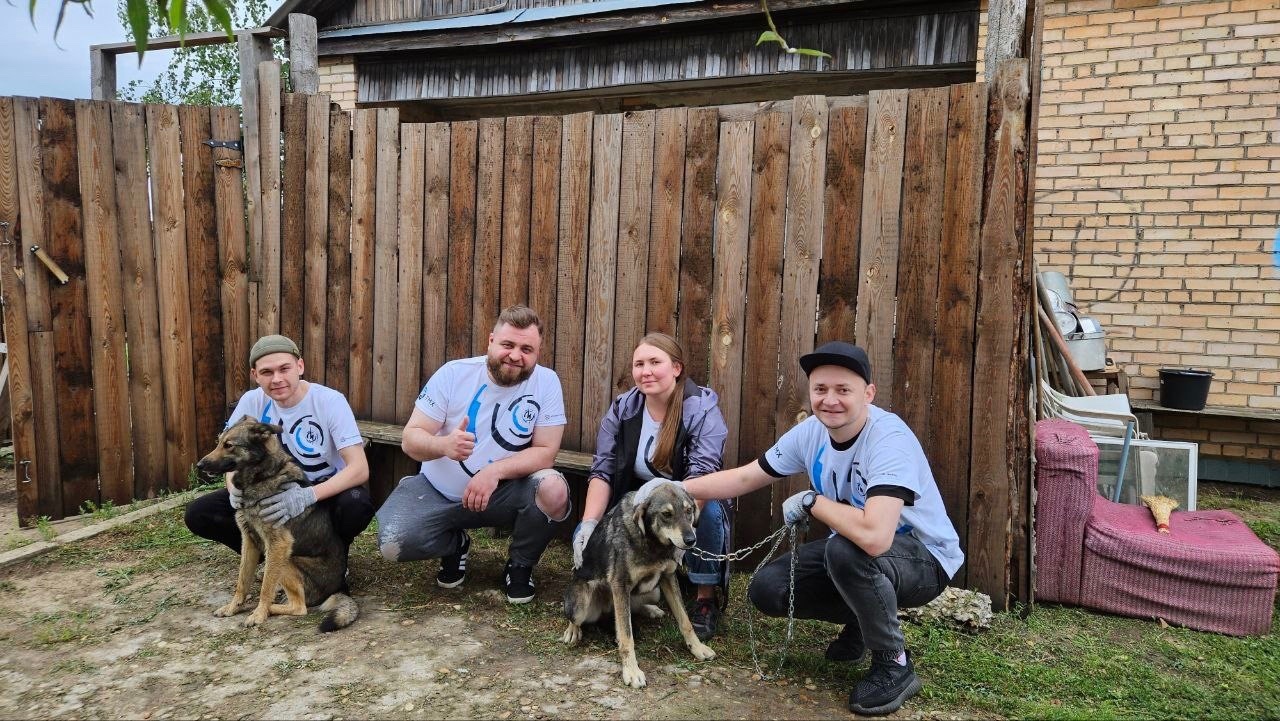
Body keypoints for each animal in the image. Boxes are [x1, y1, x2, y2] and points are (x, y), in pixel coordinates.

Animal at [195, 417, 358, 632]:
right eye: (219, 441)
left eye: (228, 445)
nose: (199, 465)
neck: (261, 476)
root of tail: (339, 589)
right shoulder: (249, 540)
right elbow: (242, 581)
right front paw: (233, 607)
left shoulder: (278, 544)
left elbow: (266, 587)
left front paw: (259, 613)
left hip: (288, 560)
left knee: (299, 607)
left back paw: (271, 607)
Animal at [561, 481, 716, 688]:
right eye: (666, 514)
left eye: (689, 510)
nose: (691, 540)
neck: (653, 542)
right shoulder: (620, 585)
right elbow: (627, 637)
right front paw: (632, 671)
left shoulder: (668, 577)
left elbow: (685, 620)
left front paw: (697, 647)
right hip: (582, 603)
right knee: (575, 617)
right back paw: (572, 631)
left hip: (654, 592)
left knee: (635, 608)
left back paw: (652, 610)